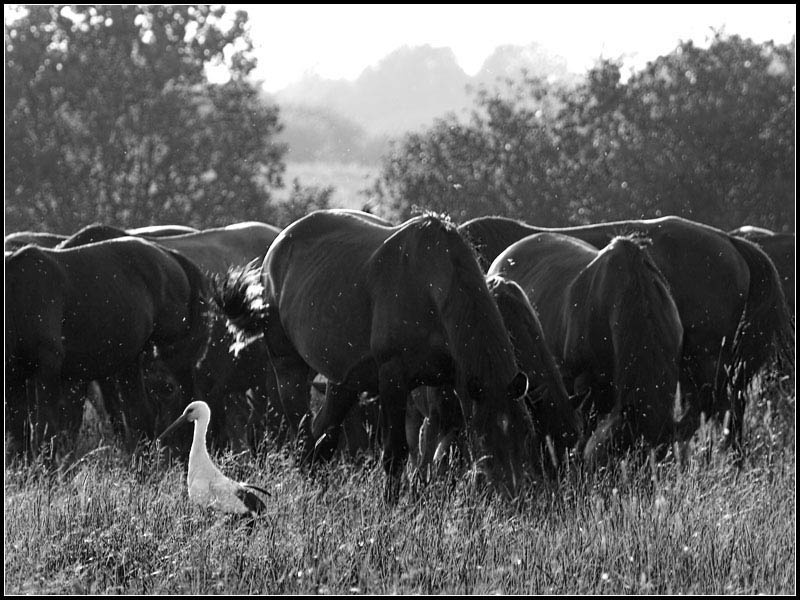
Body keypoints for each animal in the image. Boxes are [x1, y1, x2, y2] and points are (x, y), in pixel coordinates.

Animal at [5, 237, 209, 456]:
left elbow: (44, 431)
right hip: (132, 362)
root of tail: (170, 255)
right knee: (139, 415)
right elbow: (19, 436)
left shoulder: (46, 370)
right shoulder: (14, 379)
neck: (17, 296)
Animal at [214, 209, 533, 501]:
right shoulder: (393, 378)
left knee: (322, 440)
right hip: (289, 370)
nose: (512, 496)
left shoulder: (446, 382)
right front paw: (390, 509)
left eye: (524, 433)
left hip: (344, 382)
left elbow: (440, 448)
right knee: (305, 438)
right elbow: (395, 451)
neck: (431, 285)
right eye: (486, 435)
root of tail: (277, 247)